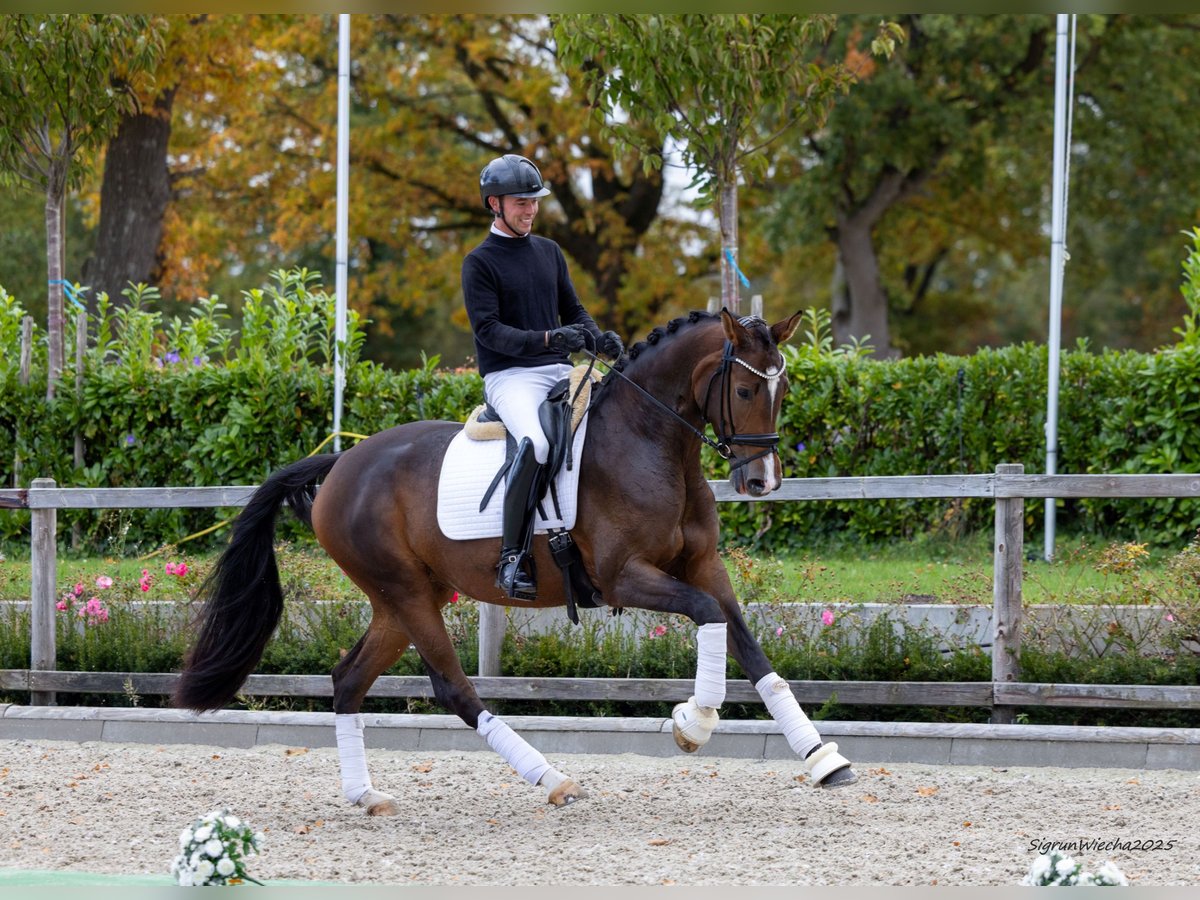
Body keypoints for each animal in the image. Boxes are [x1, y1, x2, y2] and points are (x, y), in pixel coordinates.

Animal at [174, 309, 857, 815]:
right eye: (743, 388)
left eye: (783, 389)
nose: (762, 481)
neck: (649, 441)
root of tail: (341, 463)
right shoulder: (623, 578)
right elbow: (708, 615)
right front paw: (694, 722)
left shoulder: (704, 566)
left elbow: (749, 647)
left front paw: (824, 759)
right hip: (406, 593)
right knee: (452, 687)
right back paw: (552, 779)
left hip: (406, 597)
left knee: (348, 680)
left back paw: (366, 795)